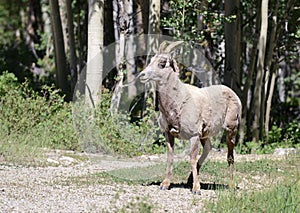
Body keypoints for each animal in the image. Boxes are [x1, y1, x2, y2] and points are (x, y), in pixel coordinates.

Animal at [139, 40, 243, 194]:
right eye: (151, 60)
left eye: (162, 63)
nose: (142, 75)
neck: (179, 101)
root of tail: (234, 95)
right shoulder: (169, 134)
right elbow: (170, 158)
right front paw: (165, 184)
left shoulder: (193, 135)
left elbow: (192, 159)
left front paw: (196, 189)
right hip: (205, 134)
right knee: (208, 148)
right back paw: (189, 180)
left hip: (231, 129)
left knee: (230, 156)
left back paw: (230, 186)